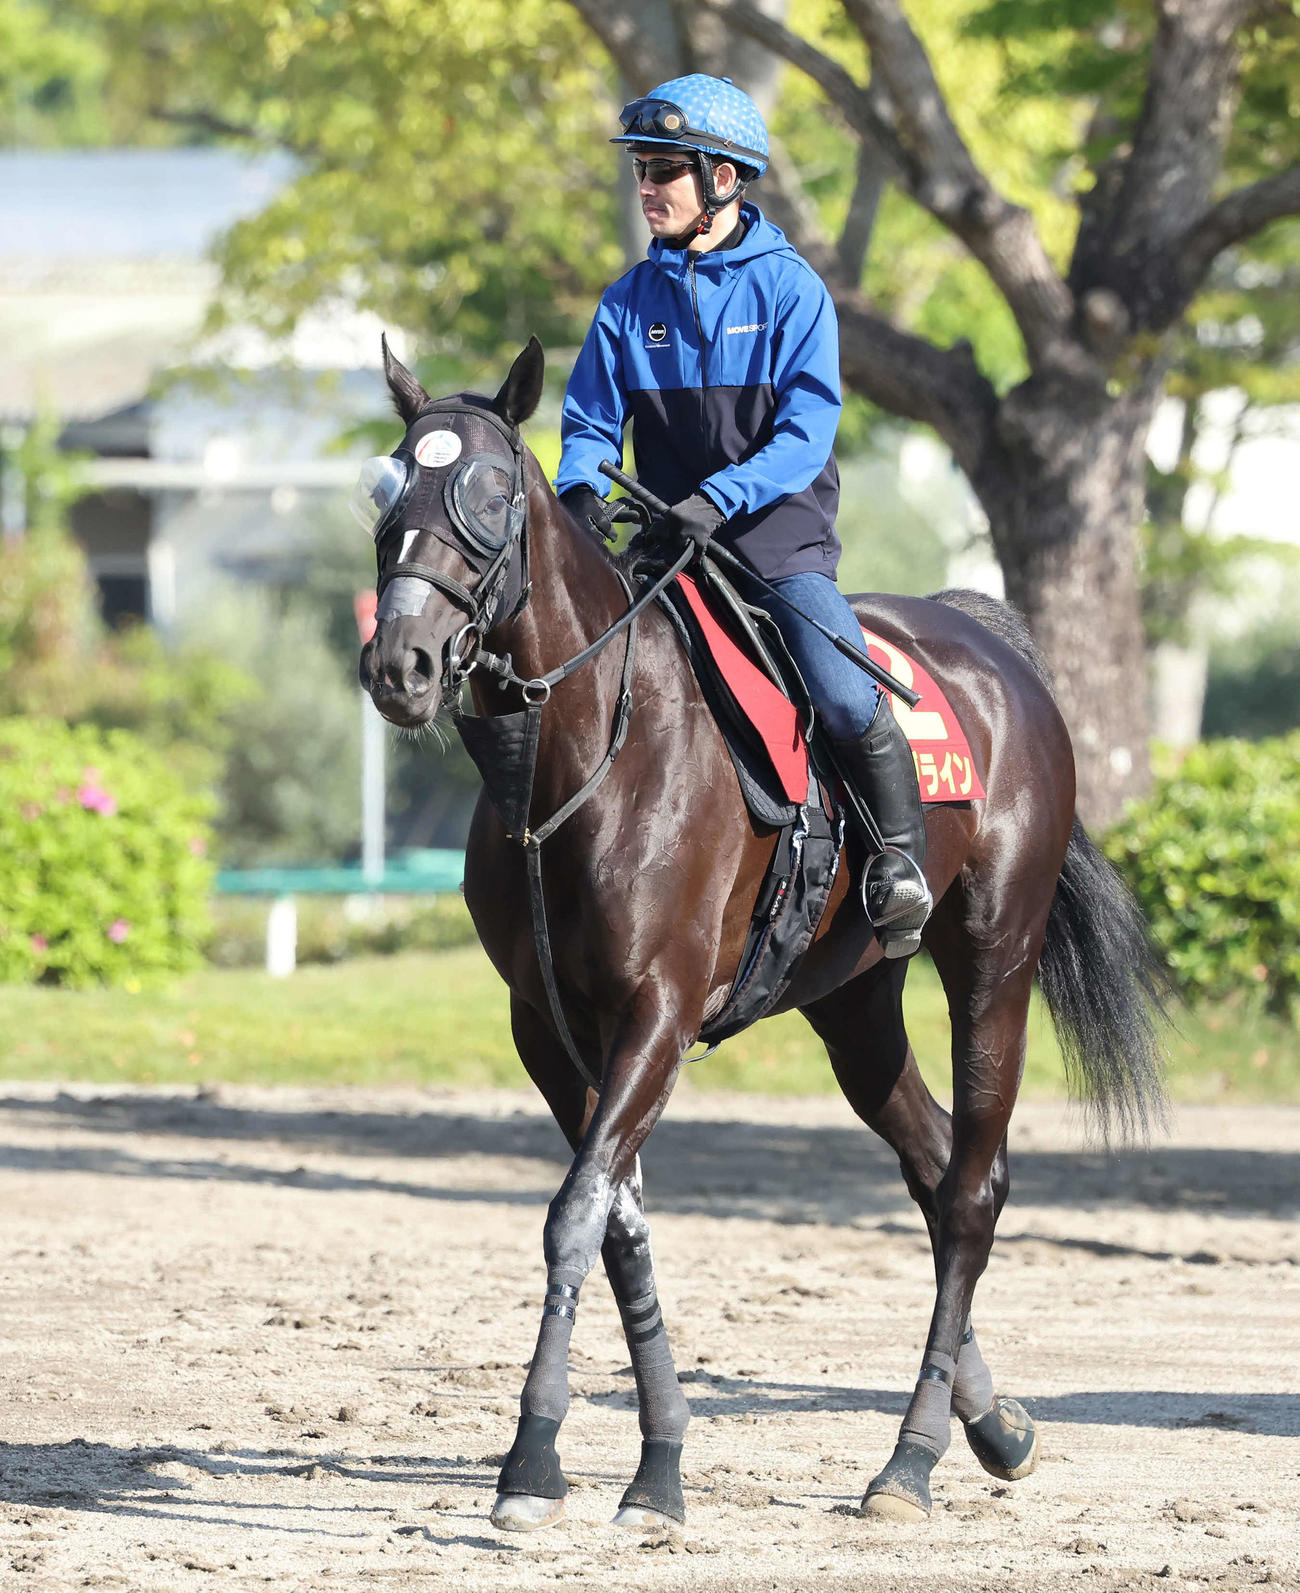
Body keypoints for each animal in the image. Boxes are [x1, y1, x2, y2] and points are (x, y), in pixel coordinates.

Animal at [357, 336, 1166, 1533]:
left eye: (492, 493)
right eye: (385, 491)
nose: (399, 664)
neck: (584, 756)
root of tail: (989, 642)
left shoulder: (657, 1009)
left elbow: (573, 1217)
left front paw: (534, 1460)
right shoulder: (549, 1030)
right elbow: (618, 1224)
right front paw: (658, 1466)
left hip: (994, 965)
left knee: (971, 1190)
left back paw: (910, 1460)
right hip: (854, 1005)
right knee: (932, 1168)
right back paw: (993, 1423)